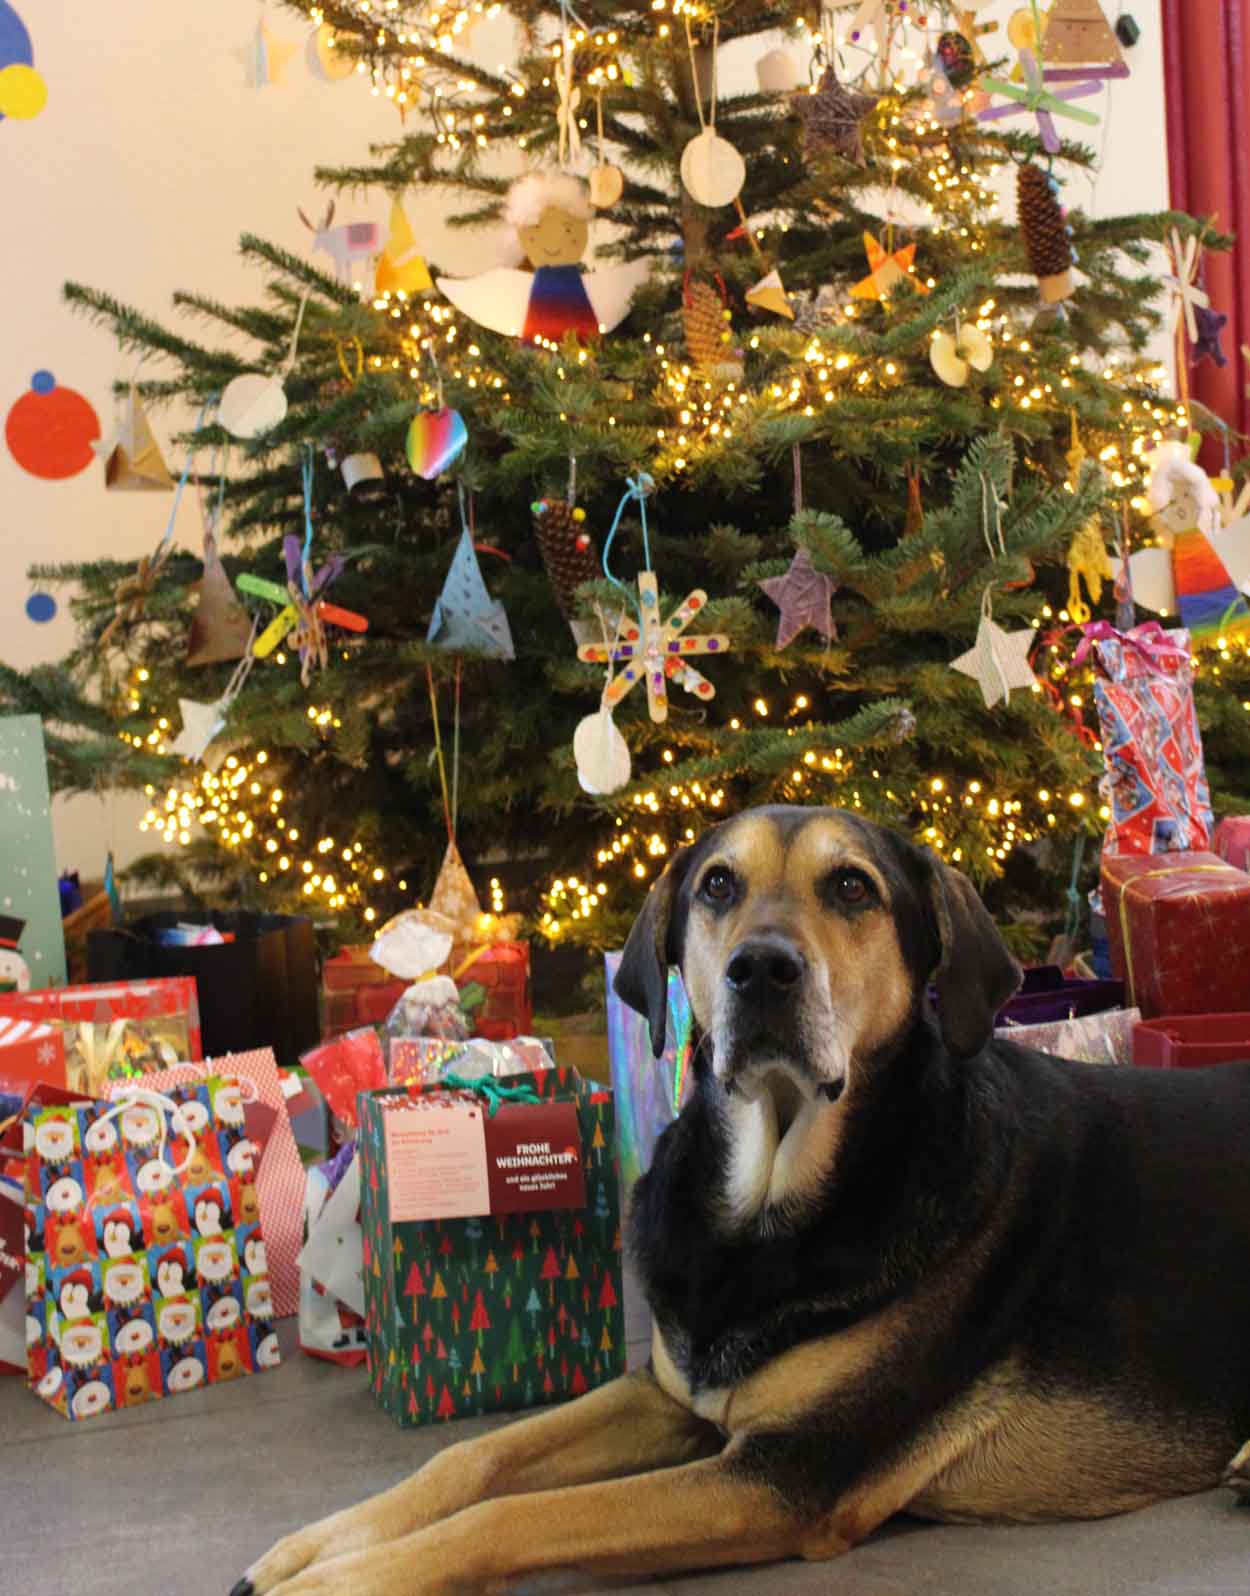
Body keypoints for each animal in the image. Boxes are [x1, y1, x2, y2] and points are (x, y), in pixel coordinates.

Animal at [234, 810, 1250, 1596]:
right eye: (718, 885)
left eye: (853, 889)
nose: (761, 970)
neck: (765, 1206)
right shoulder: (668, 1395)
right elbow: (474, 1457)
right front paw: (312, 1546)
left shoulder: (785, 1474)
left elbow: (517, 1517)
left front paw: (341, 1581)